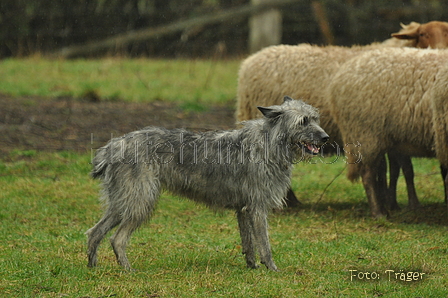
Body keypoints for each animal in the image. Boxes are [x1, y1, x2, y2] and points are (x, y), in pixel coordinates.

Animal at [86, 96, 328, 272]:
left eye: (315, 118)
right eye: (303, 121)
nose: (325, 138)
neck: (269, 142)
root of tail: (114, 145)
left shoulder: (243, 209)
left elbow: (248, 243)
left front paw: (251, 266)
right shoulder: (257, 208)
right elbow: (264, 244)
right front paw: (272, 269)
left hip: (123, 202)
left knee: (94, 232)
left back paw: (92, 266)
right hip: (140, 202)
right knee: (117, 239)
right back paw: (127, 269)